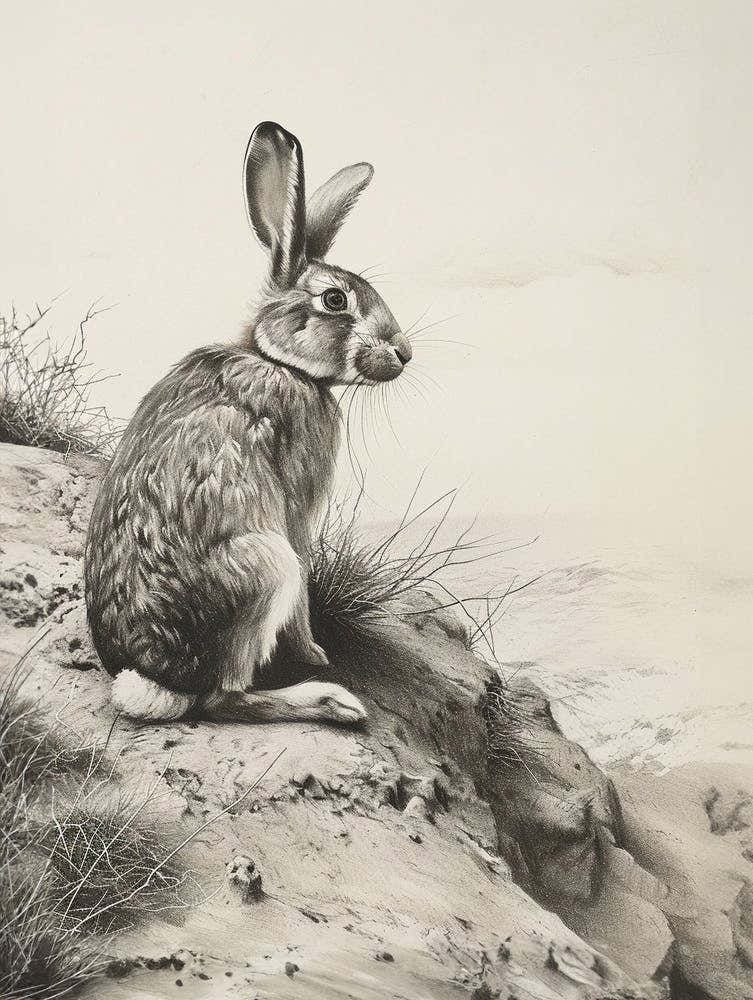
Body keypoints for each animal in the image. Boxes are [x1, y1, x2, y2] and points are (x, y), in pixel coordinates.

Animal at [84, 121, 412, 726]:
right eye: (335, 300)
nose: (403, 353)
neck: (275, 358)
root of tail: (154, 679)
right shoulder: (298, 510)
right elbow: (305, 582)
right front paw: (313, 652)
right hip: (263, 569)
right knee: (224, 699)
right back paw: (331, 701)